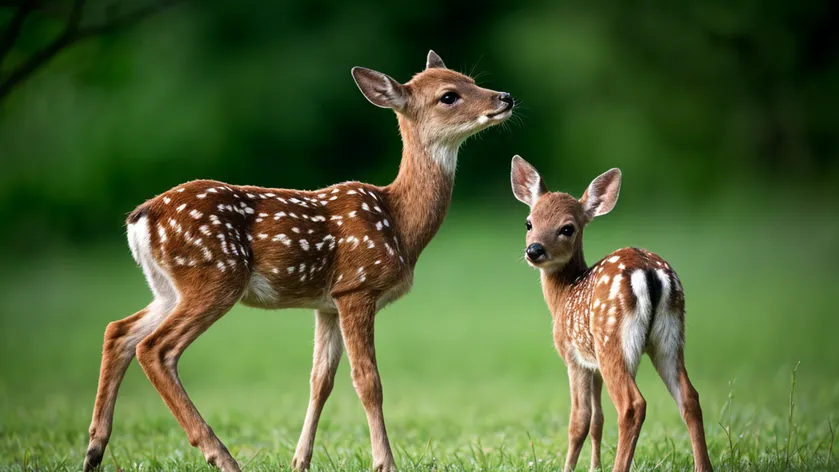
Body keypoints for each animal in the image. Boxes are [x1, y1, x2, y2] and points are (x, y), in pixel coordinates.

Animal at [87, 51, 520, 472]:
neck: (399, 222)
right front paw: (384, 462)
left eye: (471, 79)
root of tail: (141, 217)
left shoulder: (326, 304)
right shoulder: (357, 287)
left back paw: (94, 450)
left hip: (167, 288)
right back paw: (221, 456)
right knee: (155, 349)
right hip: (215, 275)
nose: (505, 98)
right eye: (449, 95)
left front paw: (300, 461)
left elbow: (320, 380)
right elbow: (368, 381)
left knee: (119, 331)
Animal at [508, 158, 712, 472]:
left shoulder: (574, 357)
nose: (534, 250)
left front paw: (570, 468)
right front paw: (594, 467)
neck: (564, 295)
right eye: (529, 222)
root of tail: (648, 272)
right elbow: (597, 420)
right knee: (689, 397)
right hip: (669, 337)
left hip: (612, 338)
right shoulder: (593, 364)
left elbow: (579, 421)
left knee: (632, 405)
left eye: (567, 228)